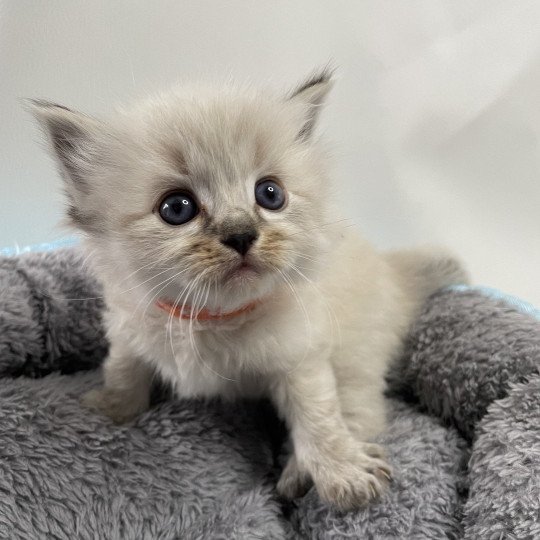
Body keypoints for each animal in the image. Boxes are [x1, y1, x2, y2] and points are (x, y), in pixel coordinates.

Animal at [30, 70, 468, 510]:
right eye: (177, 208)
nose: (241, 234)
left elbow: (320, 418)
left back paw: (299, 475)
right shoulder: (128, 330)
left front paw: (343, 472)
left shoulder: (302, 358)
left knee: (362, 414)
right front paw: (109, 412)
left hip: (354, 358)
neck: (208, 317)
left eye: (270, 194)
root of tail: (393, 272)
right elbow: (123, 371)